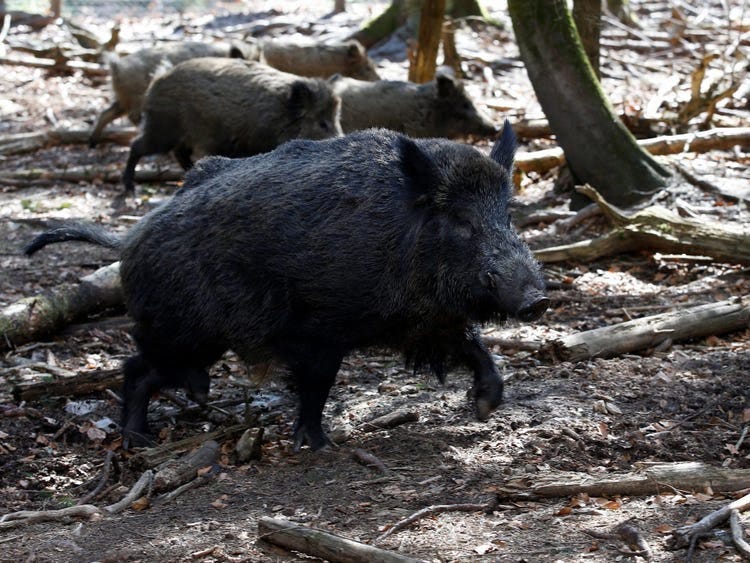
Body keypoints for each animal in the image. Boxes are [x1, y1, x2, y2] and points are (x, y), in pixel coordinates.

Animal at [25, 123, 548, 450]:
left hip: (197, 342)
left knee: (154, 372)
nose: (538, 300)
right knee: (134, 369)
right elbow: (316, 386)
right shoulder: (320, 330)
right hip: (177, 331)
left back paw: (189, 407)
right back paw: (140, 440)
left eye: (506, 214)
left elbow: (475, 348)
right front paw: (318, 445)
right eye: (459, 219)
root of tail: (130, 236)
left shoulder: (427, 322)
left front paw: (485, 407)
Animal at [88, 40, 261, 147]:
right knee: (133, 118)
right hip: (135, 99)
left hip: (124, 100)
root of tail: (116, 66)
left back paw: (93, 143)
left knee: (107, 113)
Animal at [121, 58, 342, 194]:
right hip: (162, 130)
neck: (280, 116)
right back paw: (129, 187)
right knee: (137, 146)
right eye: (322, 123)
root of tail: (158, 78)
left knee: (180, 152)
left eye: (337, 119)